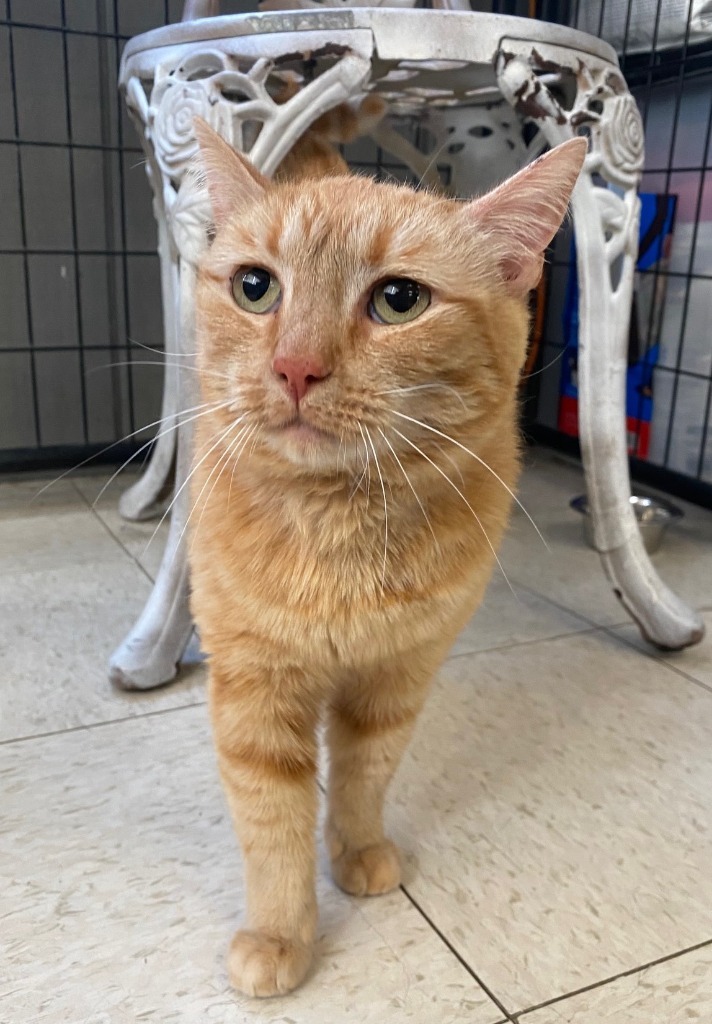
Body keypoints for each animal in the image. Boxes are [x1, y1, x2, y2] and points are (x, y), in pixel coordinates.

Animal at [189, 114, 585, 999]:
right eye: (255, 288)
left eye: (399, 300)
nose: (296, 367)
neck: (339, 523)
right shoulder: (255, 690)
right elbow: (272, 822)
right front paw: (280, 935)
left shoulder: (398, 675)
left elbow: (365, 776)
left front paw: (359, 851)